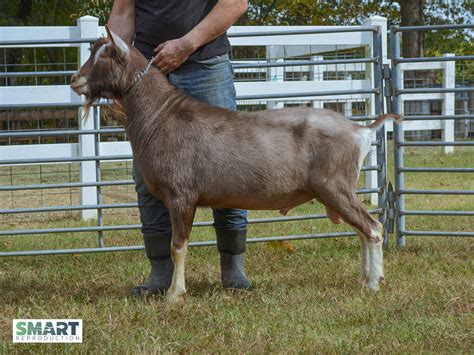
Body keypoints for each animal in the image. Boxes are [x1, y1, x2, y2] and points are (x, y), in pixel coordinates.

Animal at [71, 27, 400, 304]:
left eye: (106, 56)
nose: (75, 80)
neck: (161, 116)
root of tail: (361, 130)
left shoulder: (181, 195)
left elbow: (178, 246)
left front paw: (175, 295)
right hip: (338, 190)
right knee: (361, 231)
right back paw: (364, 280)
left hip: (334, 186)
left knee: (372, 228)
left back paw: (374, 284)